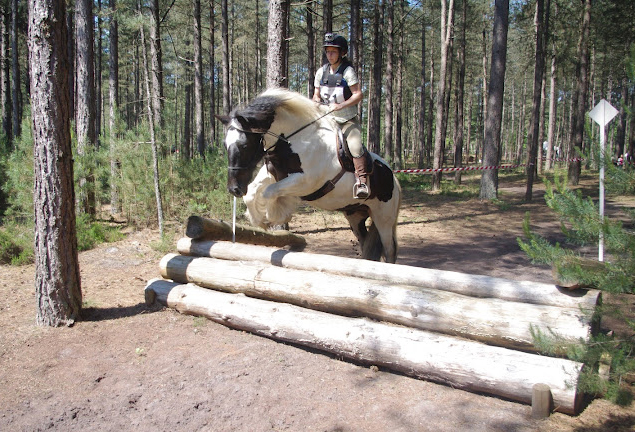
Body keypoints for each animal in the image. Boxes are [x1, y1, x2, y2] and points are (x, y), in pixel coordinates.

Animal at [217, 88, 401, 263]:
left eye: (244, 145)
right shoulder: (274, 175)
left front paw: (273, 217)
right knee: (365, 242)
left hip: (383, 217)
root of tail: (393, 178)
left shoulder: (305, 182)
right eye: (225, 144)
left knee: (390, 249)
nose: (234, 189)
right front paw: (259, 221)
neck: (293, 141)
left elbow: (269, 192)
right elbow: (253, 192)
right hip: (355, 216)